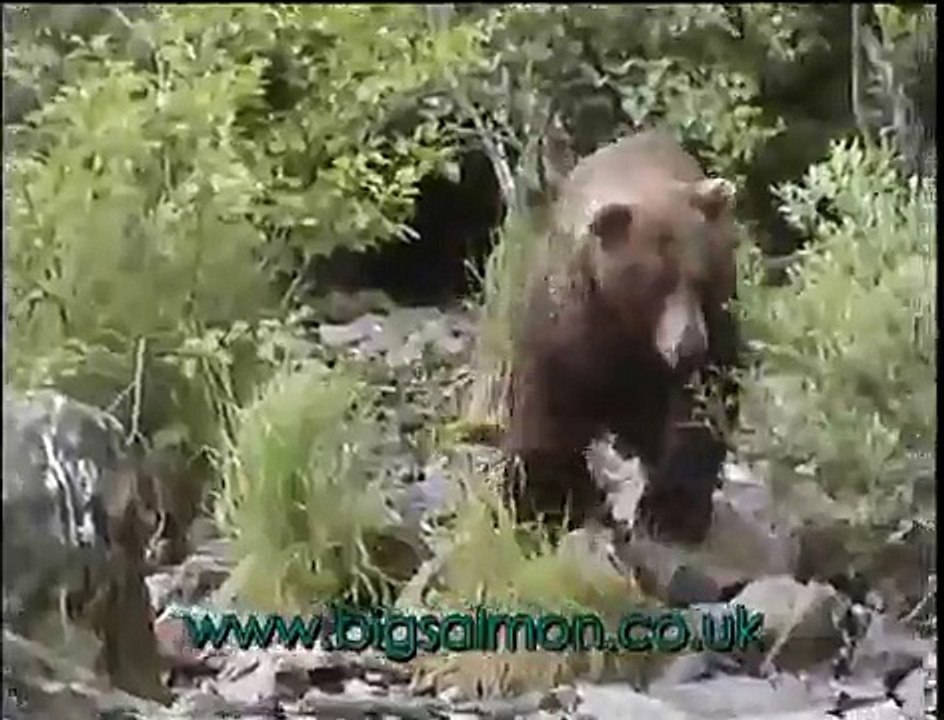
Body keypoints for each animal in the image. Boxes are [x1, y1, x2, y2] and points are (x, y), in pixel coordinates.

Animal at [504, 129, 741, 545]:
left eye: (701, 277)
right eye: (656, 284)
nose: (689, 345)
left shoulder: (714, 320)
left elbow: (702, 406)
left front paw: (672, 512)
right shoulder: (570, 323)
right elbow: (548, 406)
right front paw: (547, 502)